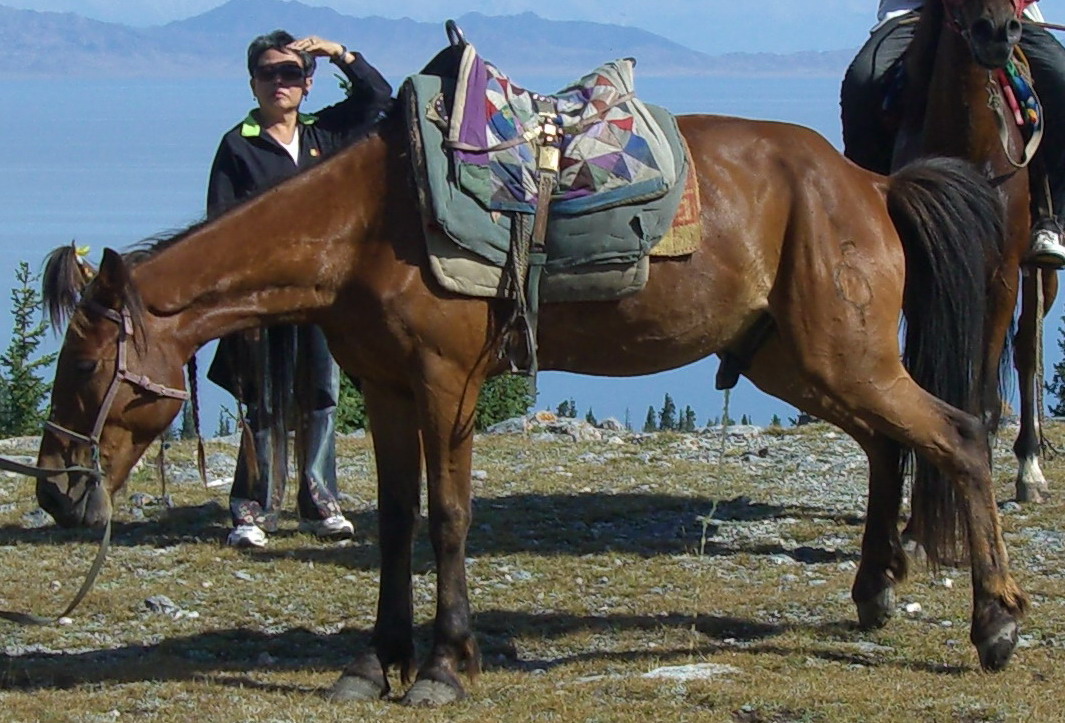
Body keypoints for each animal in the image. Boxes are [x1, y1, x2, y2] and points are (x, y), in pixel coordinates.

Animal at [33, 101, 1025, 705]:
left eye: (83, 365)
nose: (52, 489)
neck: (364, 224)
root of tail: (871, 184)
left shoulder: (446, 383)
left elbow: (448, 519)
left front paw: (443, 663)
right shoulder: (386, 389)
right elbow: (395, 522)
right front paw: (375, 660)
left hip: (841, 358)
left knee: (959, 436)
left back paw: (994, 622)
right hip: (803, 361)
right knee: (888, 446)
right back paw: (874, 589)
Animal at [892, 0, 1059, 503]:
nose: (997, 33)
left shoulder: (1002, 275)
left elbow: (984, 396)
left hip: (1036, 274)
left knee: (1026, 352)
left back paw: (1030, 468)